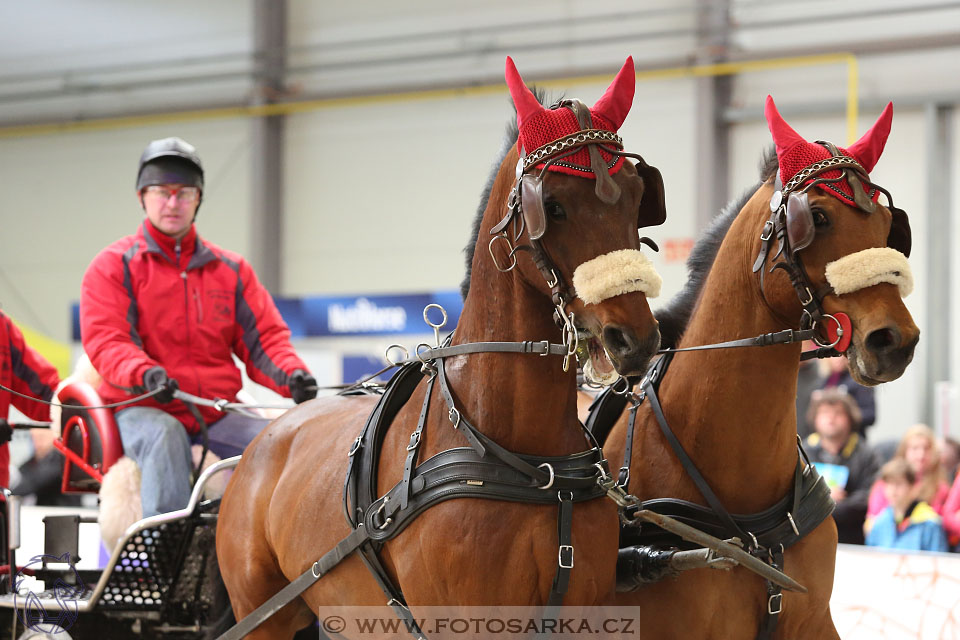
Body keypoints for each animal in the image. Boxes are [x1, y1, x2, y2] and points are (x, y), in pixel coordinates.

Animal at [216, 57, 668, 636]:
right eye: (555, 206)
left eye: (637, 198)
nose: (634, 338)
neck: (530, 462)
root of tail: (265, 438)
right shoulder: (462, 620)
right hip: (260, 614)